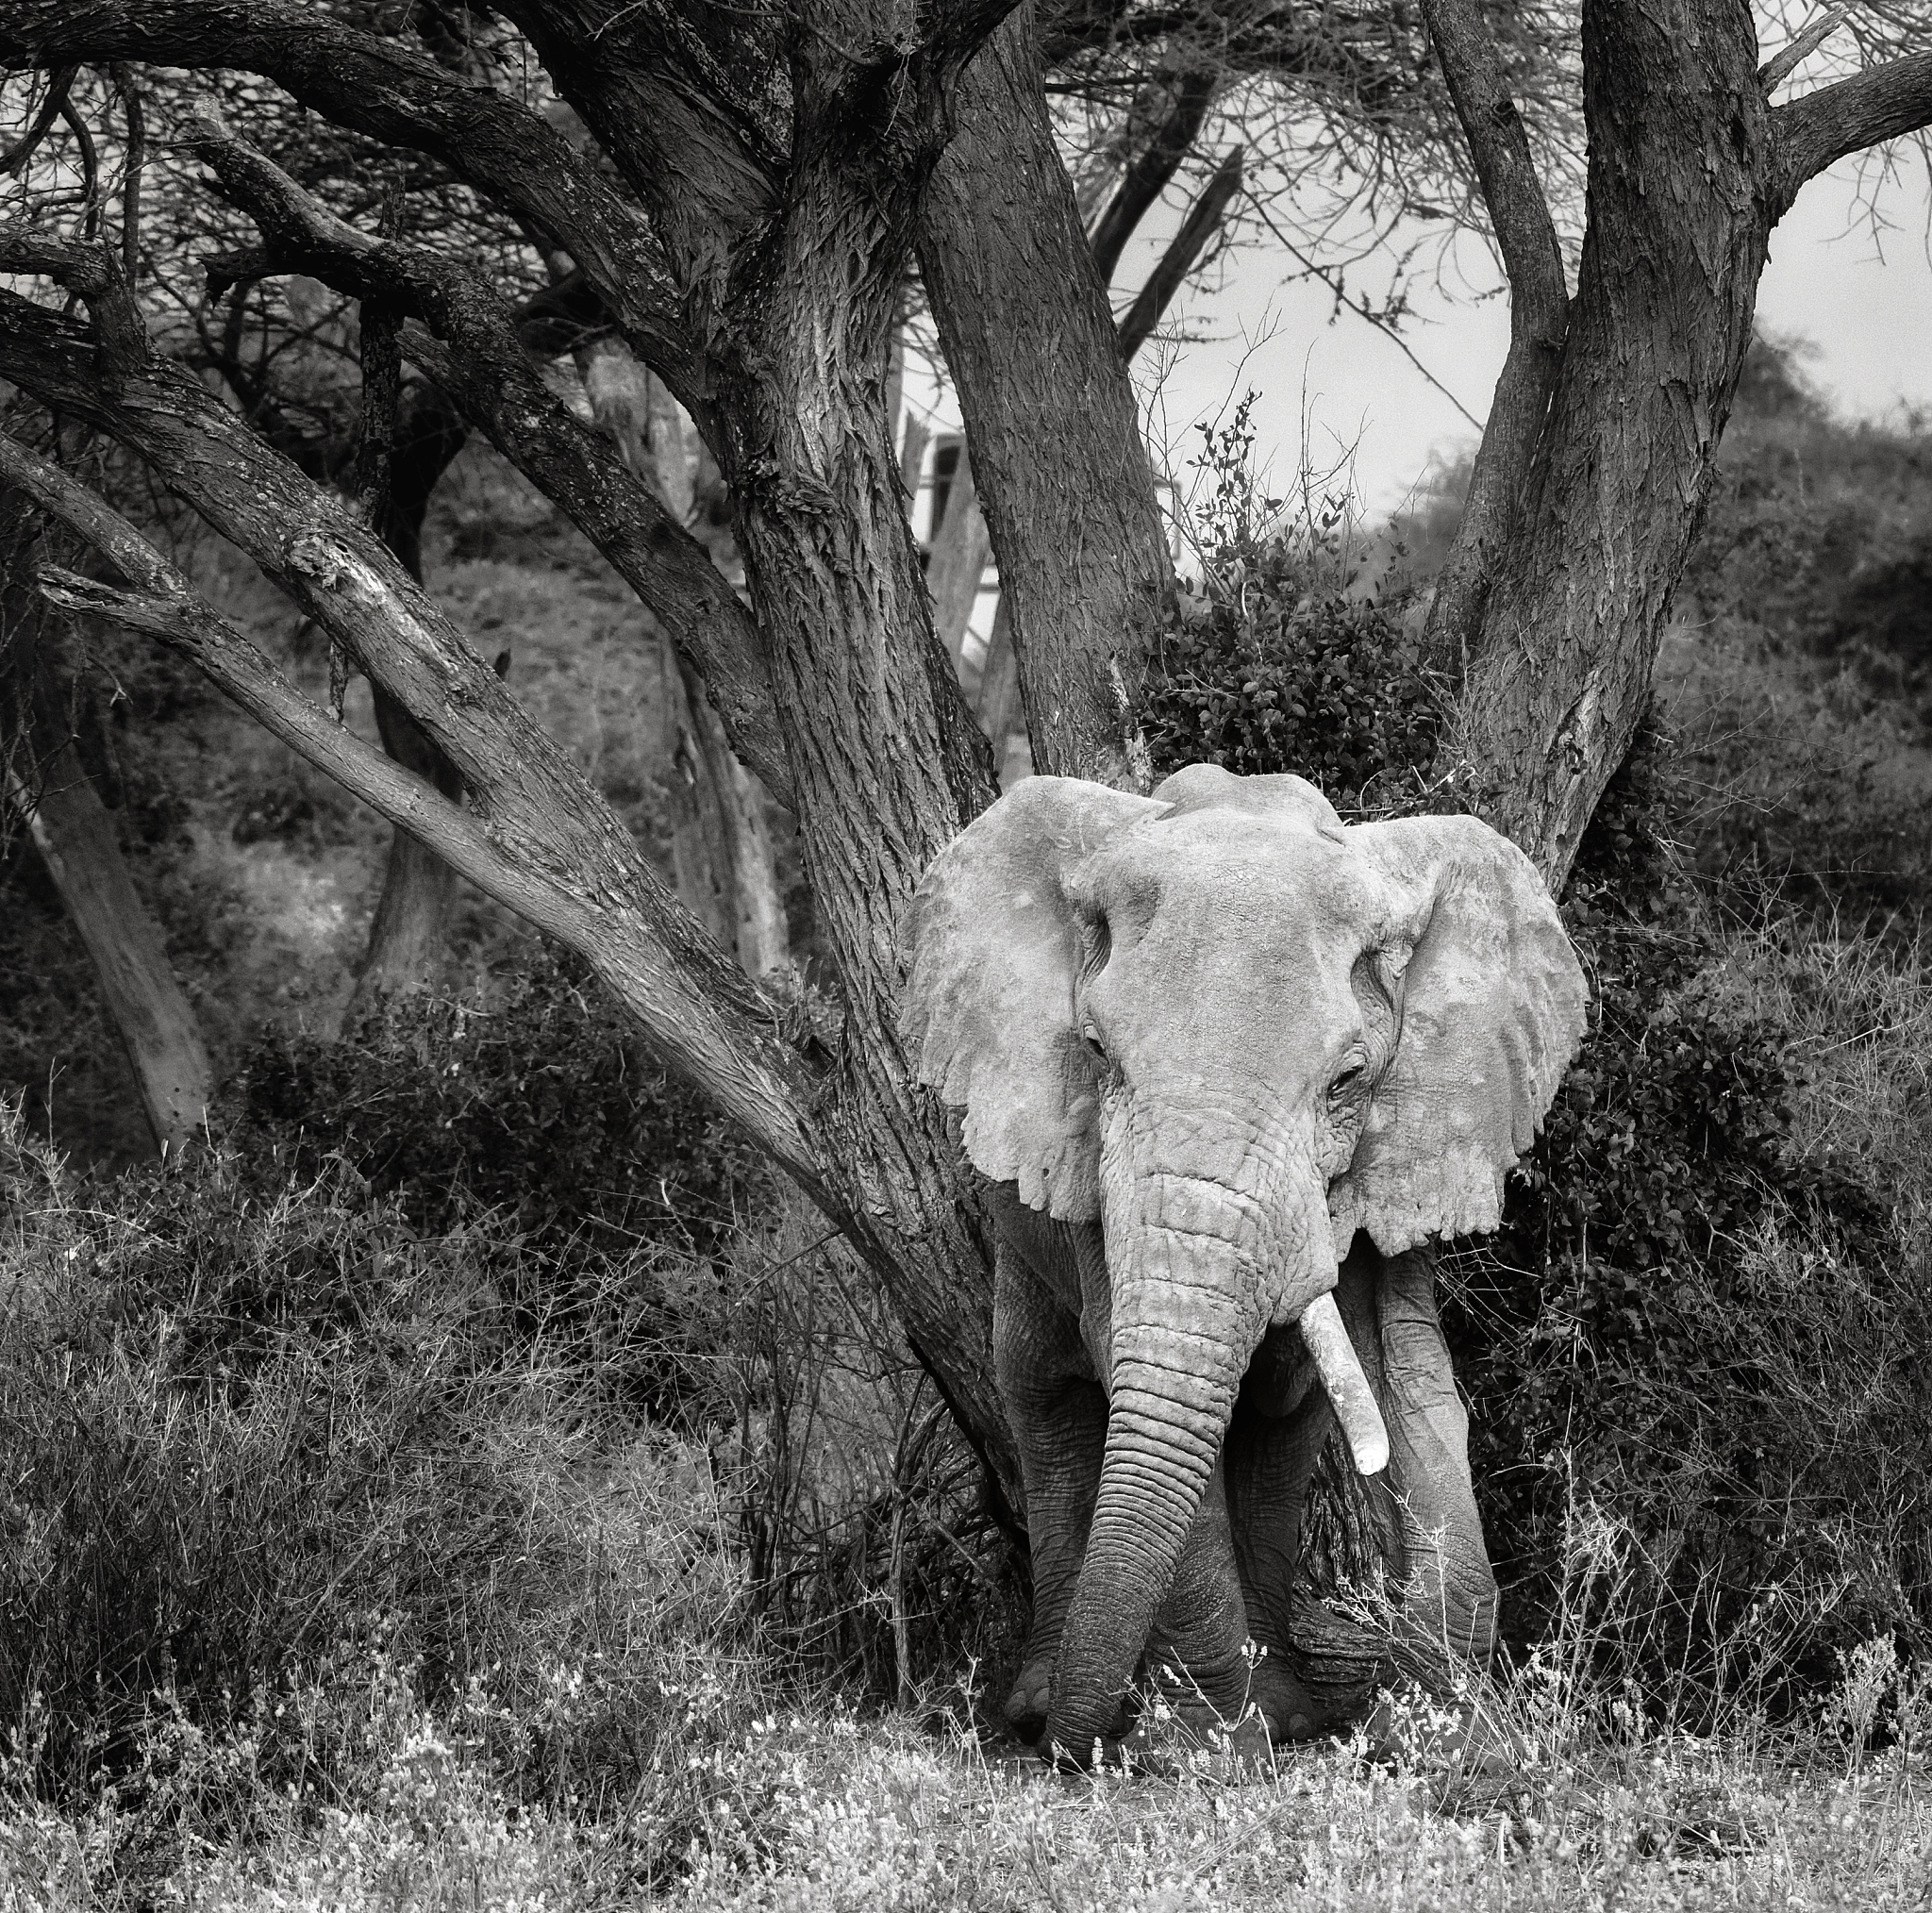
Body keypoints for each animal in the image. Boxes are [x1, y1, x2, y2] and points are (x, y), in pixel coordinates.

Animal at [900, 762, 1587, 1764]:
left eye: (1347, 1080)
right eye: (1096, 1055)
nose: (1081, 1748)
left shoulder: (1411, 1130)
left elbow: (1409, 1371)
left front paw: (1449, 1740)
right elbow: (1130, 1371)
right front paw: (1211, 1753)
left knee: (1276, 1420)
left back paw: (1280, 1709)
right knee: (1046, 1397)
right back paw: (1050, 1706)